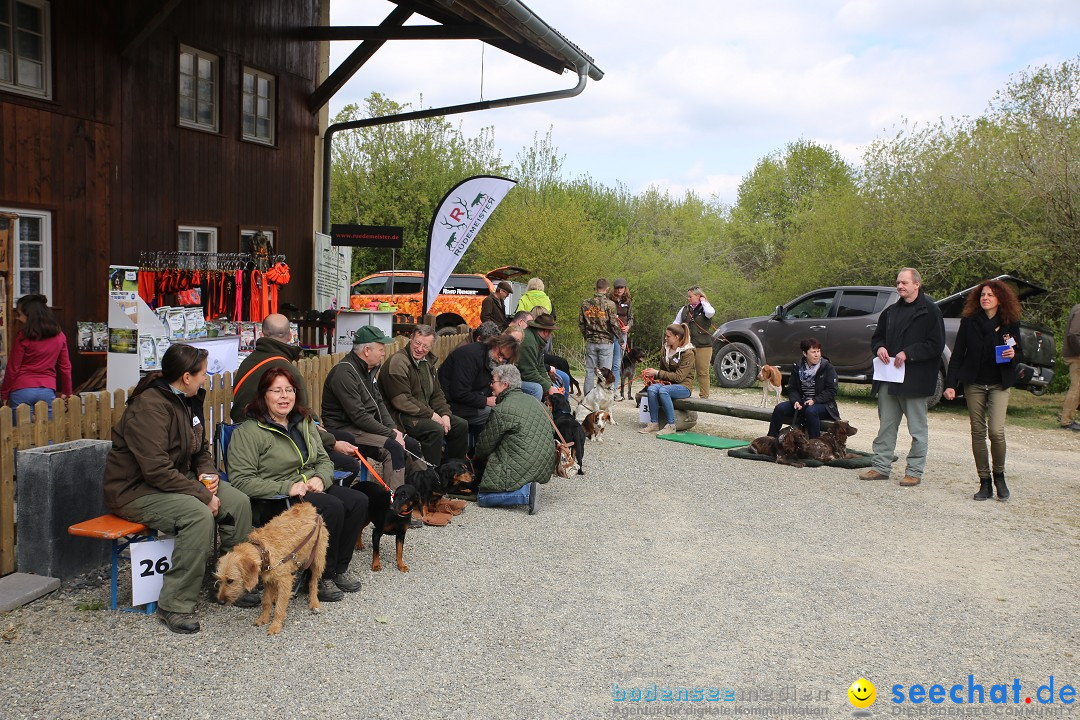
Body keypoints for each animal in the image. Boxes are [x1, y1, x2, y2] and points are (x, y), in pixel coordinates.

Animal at [212, 500, 326, 634]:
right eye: (219, 580)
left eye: (230, 580)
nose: (220, 601)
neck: (263, 549)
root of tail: (309, 506)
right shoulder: (268, 580)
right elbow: (266, 602)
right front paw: (263, 618)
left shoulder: (285, 581)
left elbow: (280, 607)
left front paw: (275, 625)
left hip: (317, 559)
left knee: (313, 582)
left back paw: (314, 602)